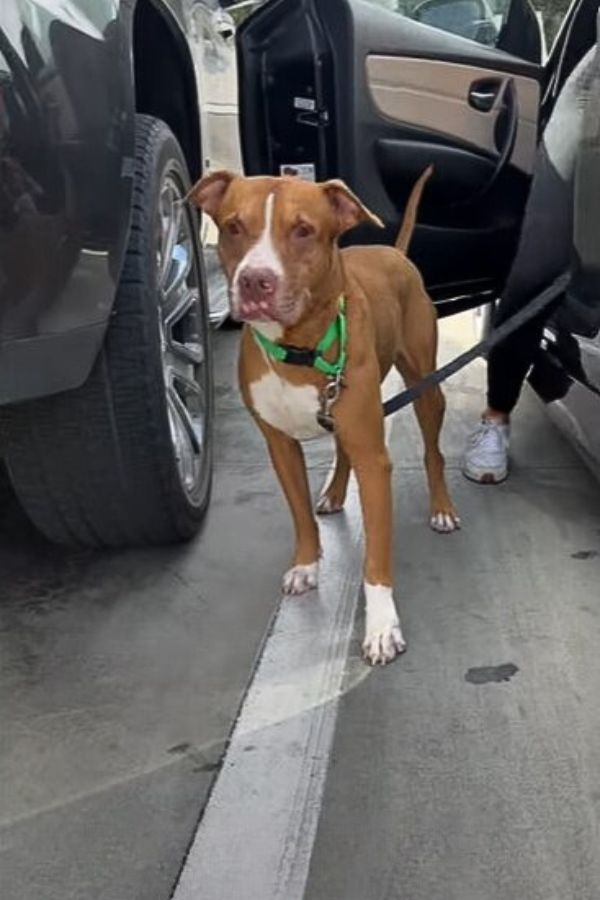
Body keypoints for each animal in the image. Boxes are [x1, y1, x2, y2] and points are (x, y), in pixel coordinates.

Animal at [188, 169, 460, 664]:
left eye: (303, 230)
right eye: (233, 226)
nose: (255, 280)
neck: (299, 348)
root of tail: (395, 252)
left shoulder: (374, 459)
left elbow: (377, 555)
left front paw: (382, 627)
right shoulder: (280, 448)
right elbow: (300, 516)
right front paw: (305, 564)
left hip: (426, 387)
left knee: (434, 451)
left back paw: (442, 508)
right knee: (340, 449)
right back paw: (334, 493)